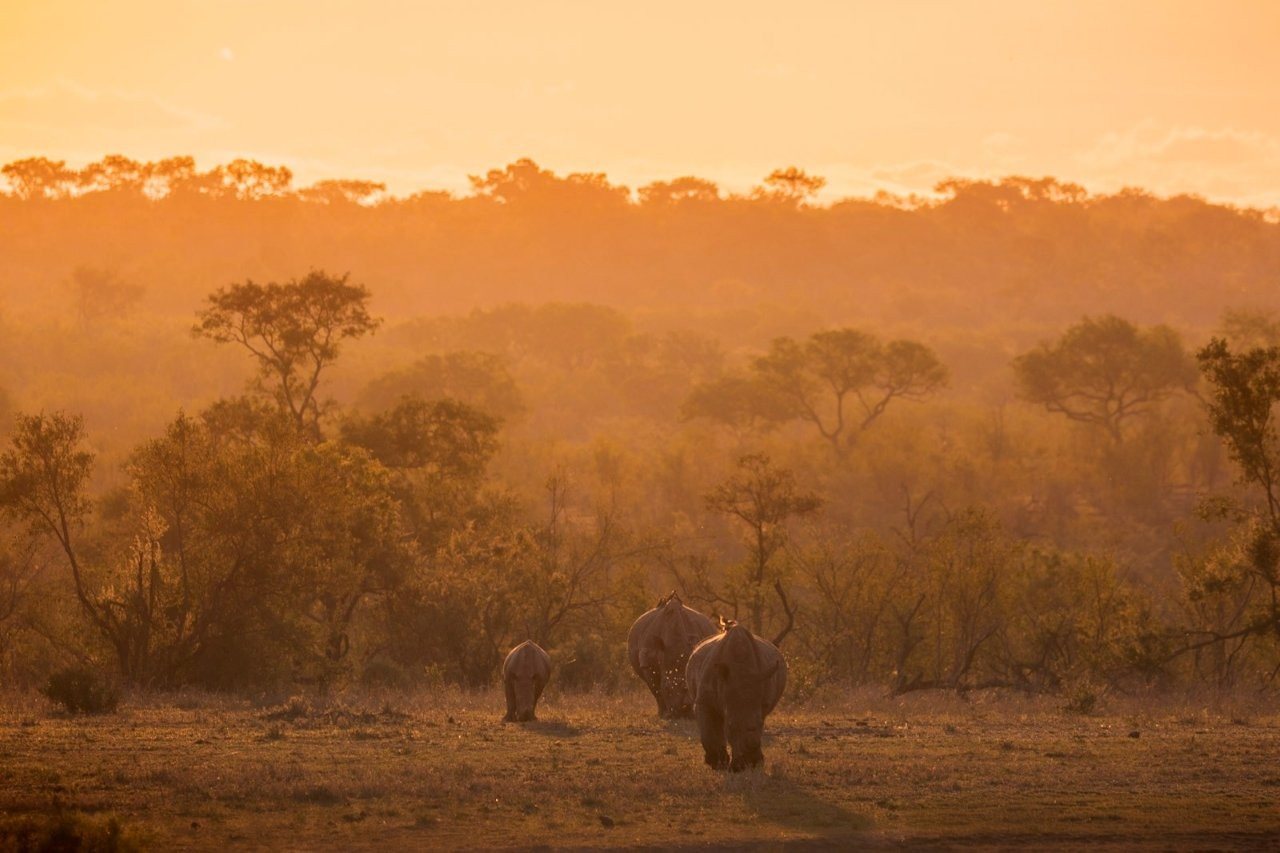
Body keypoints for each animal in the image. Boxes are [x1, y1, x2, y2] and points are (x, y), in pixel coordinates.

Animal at [686, 621, 787, 771]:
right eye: (730, 725)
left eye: (761, 724)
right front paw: (716, 763)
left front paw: (751, 764)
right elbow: (708, 732)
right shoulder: (703, 701)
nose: (747, 764)